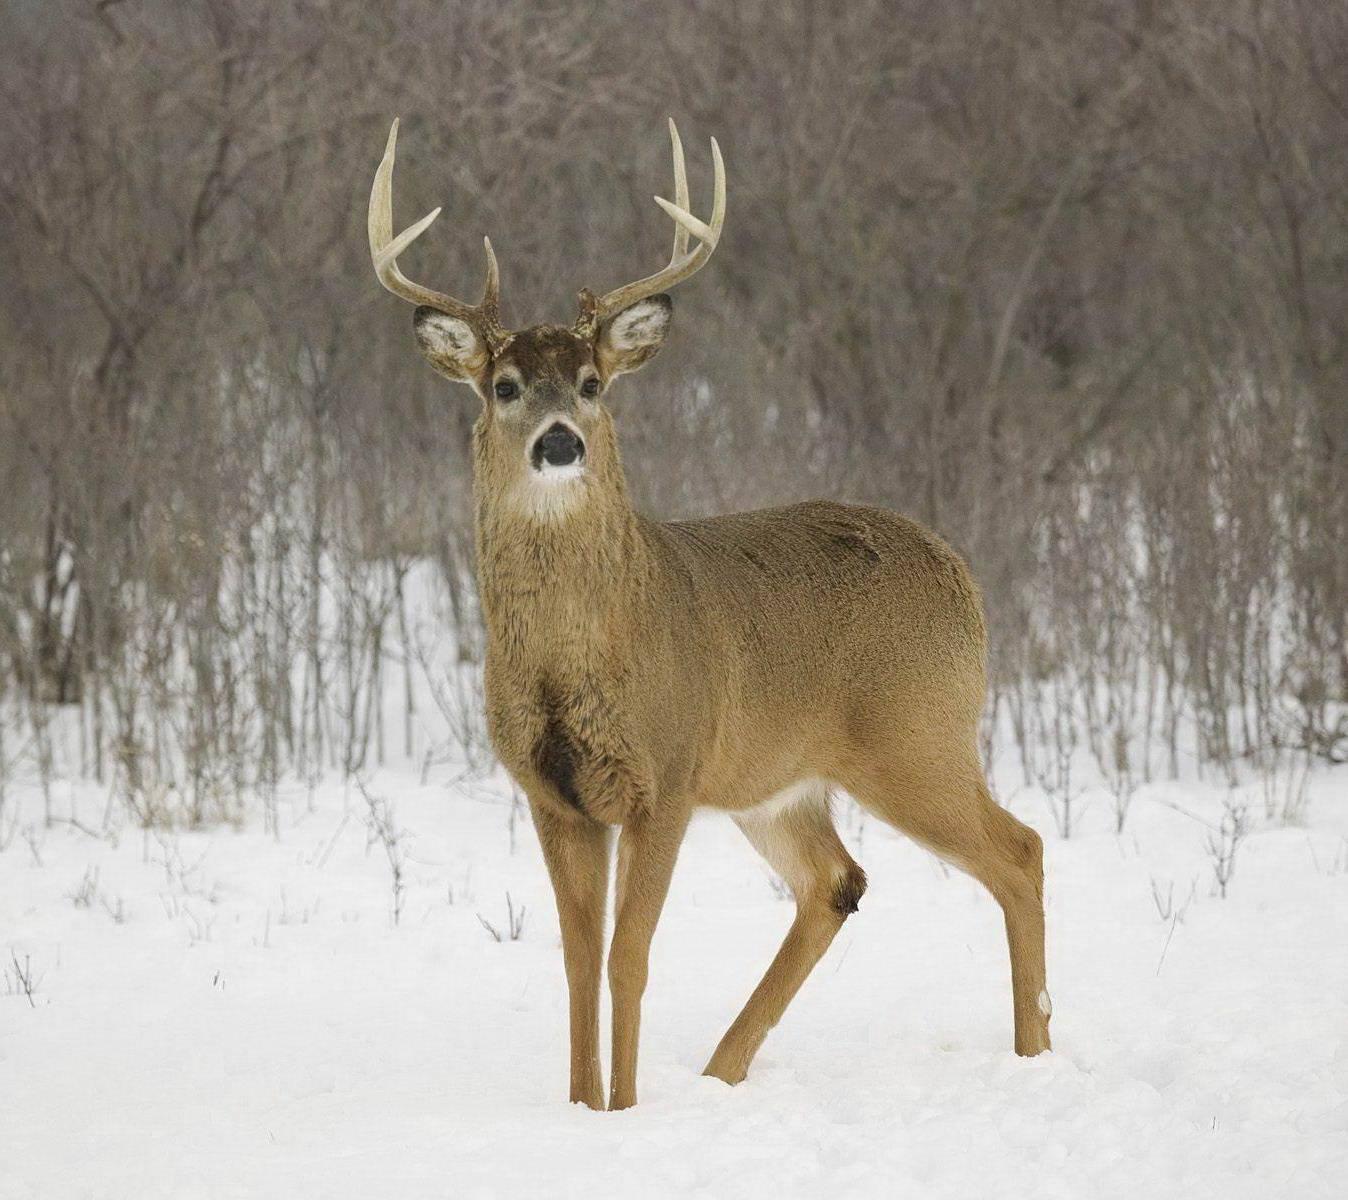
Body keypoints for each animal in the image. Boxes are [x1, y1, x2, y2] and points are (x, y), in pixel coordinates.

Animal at [367, 118, 1051, 1111]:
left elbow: (630, 960)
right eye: (504, 386)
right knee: (837, 881)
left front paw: (623, 1110)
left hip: (916, 736)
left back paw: (1036, 1054)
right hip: (780, 781)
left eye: (591, 381)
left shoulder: (669, 775)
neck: (578, 657)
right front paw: (582, 1107)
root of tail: (961, 573)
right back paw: (723, 1073)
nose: (560, 442)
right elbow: (577, 963)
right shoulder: (552, 794)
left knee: (1019, 851)